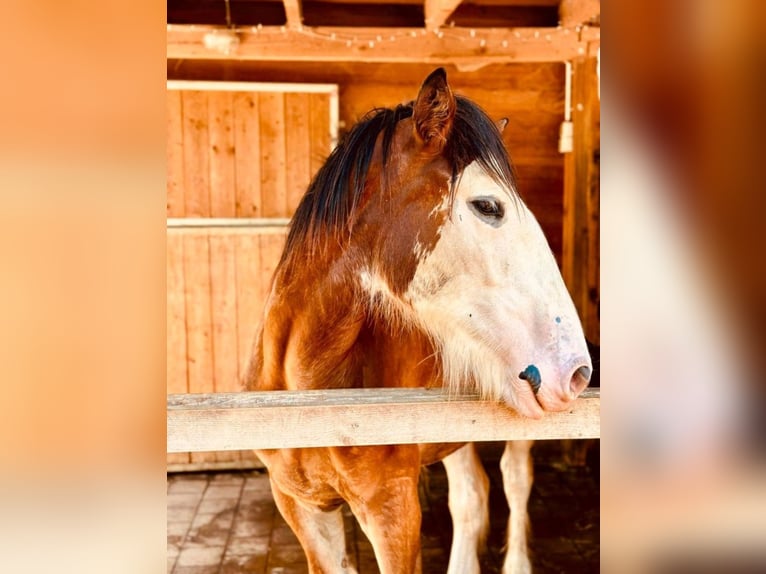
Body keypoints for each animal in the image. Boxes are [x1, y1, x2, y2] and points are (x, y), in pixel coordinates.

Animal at [246, 68, 592, 574]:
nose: (577, 371)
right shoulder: (303, 510)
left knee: (513, 481)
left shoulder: (393, 512)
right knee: (471, 498)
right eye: (488, 206)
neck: (311, 395)